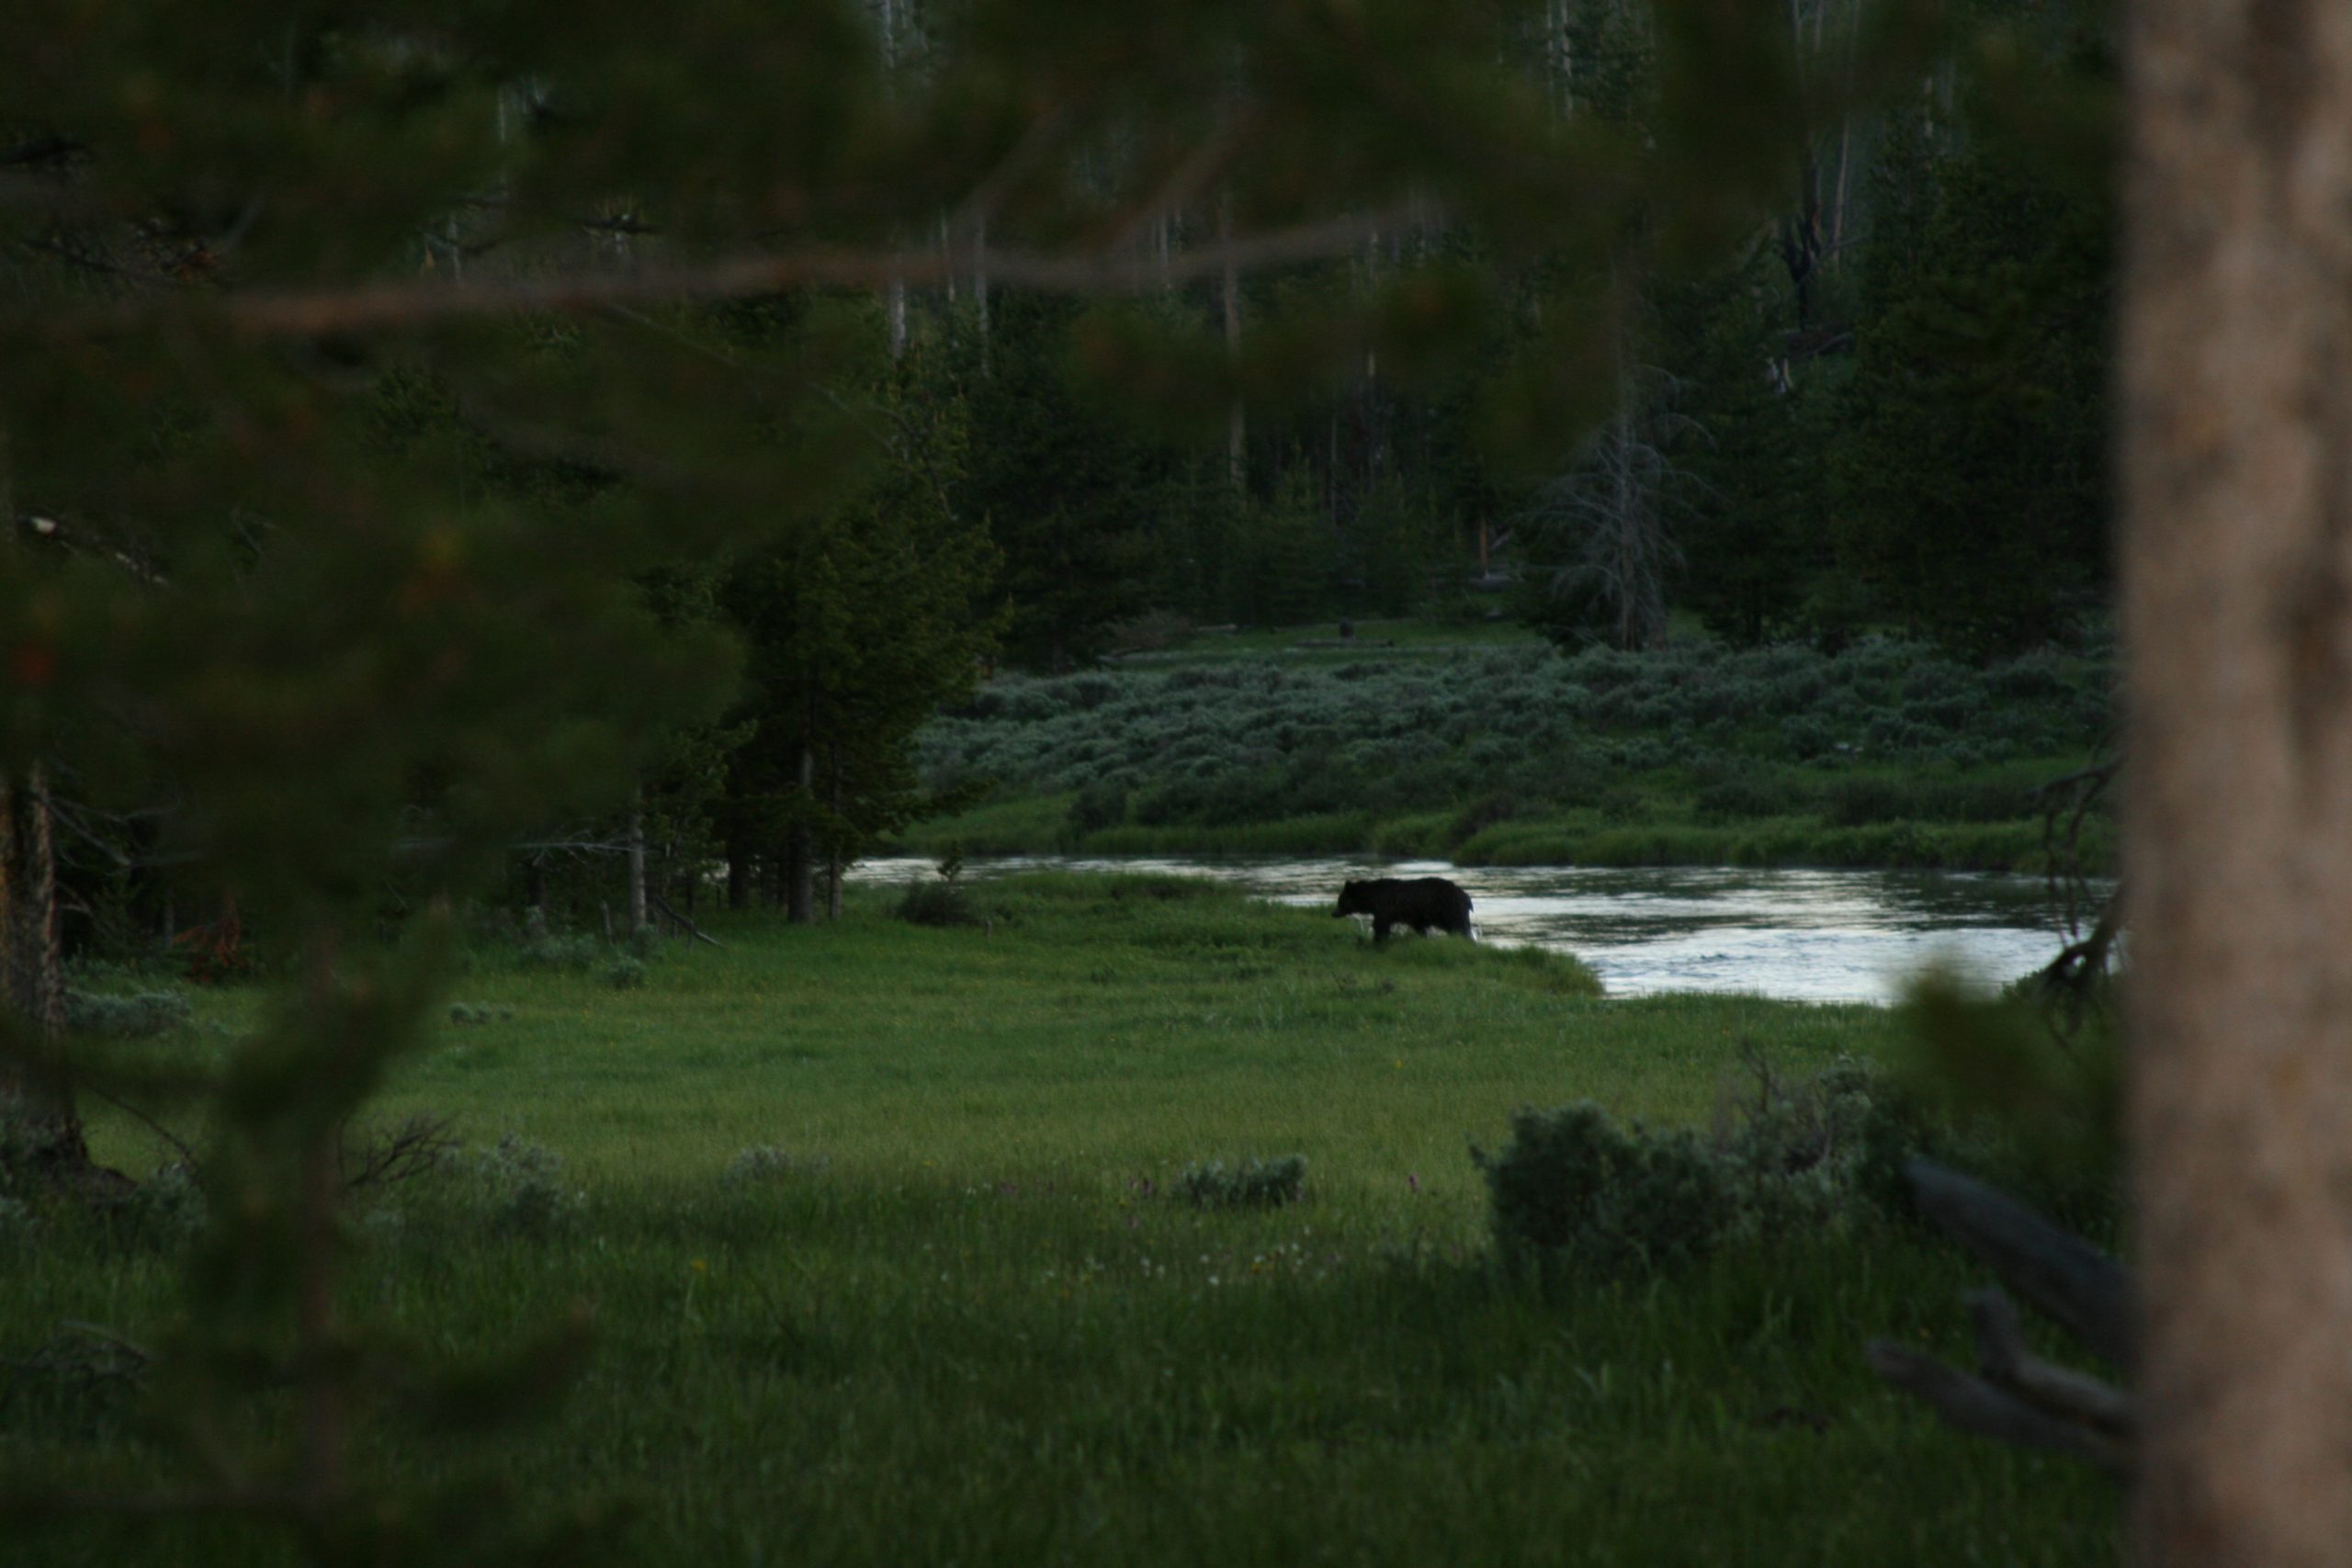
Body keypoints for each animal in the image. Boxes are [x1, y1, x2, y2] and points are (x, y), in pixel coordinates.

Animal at [1336, 879, 1476, 940]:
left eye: (1340, 900)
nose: (1334, 913)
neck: (1373, 898)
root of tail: (1467, 897)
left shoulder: (1386, 907)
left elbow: (1381, 925)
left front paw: (1377, 940)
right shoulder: (1415, 917)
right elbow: (1419, 927)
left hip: (1450, 910)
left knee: (1460, 927)